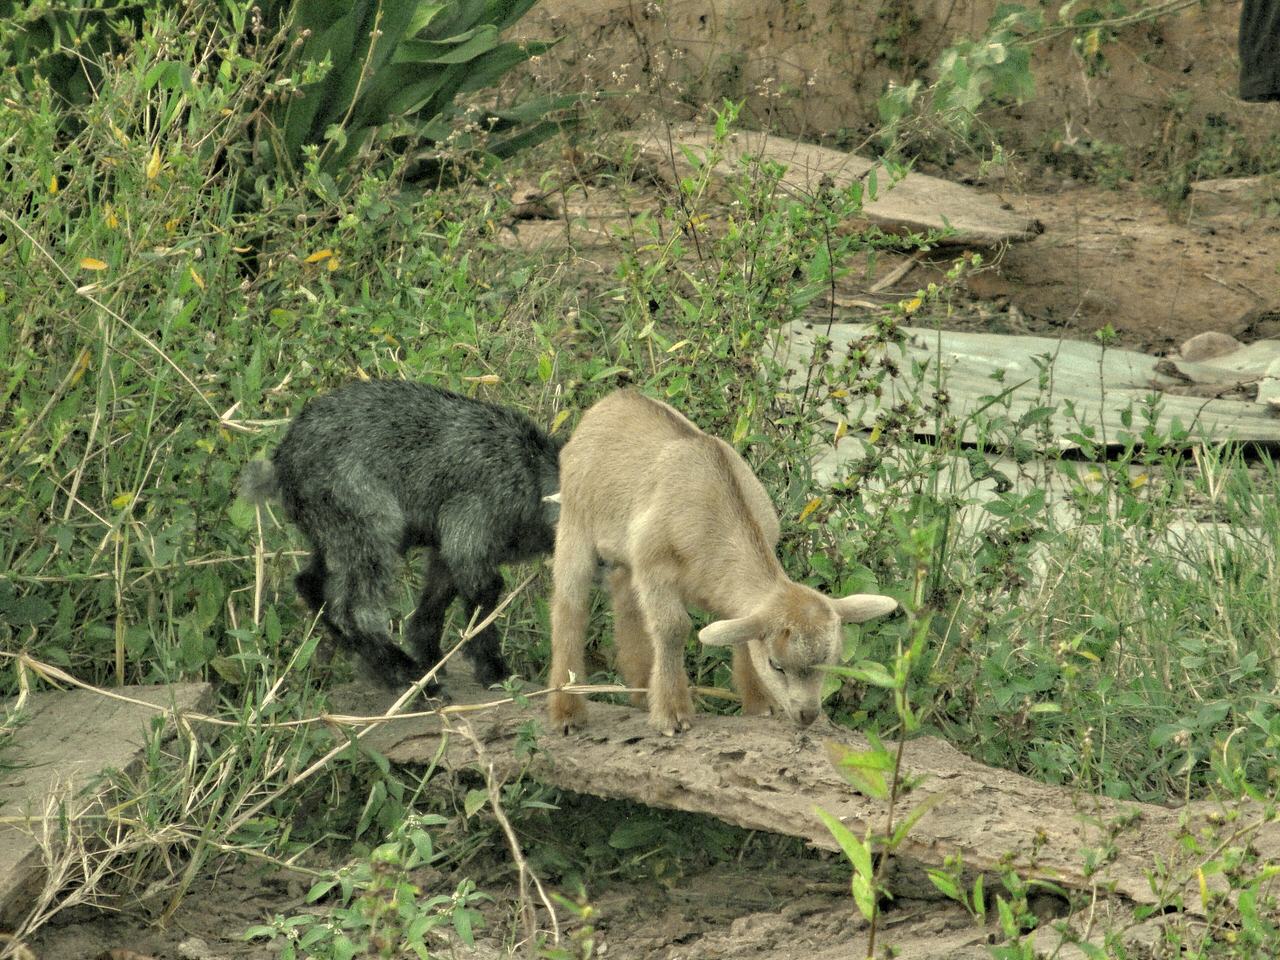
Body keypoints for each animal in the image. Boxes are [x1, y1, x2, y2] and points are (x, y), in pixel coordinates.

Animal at [240, 380, 562, 693]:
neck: (532, 473)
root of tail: (282, 462)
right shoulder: (468, 532)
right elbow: (483, 600)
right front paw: (495, 673)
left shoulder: (446, 547)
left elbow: (434, 603)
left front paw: (432, 659)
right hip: (372, 524)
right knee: (353, 610)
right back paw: (409, 678)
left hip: (334, 535)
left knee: (311, 584)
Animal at [548, 390, 896, 736]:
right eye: (776, 665)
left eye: (830, 660)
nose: (807, 715)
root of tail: (613, 399)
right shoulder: (655, 566)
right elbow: (672, 629)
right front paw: (672, 714)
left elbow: (740, 631)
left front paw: (760, 705)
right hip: (575, 523)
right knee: (569, 607)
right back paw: (568, 711)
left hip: (624, 556)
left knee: (625, 599)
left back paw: (640, 689)